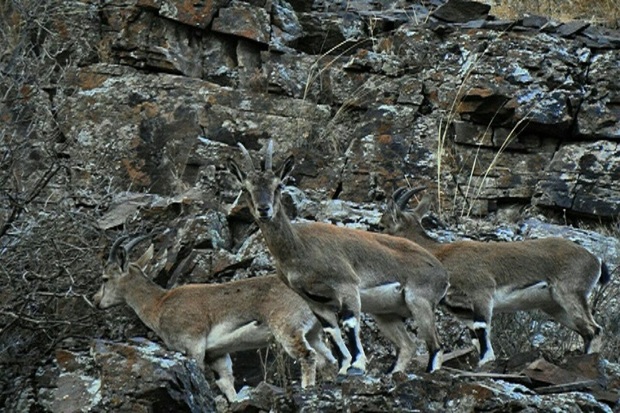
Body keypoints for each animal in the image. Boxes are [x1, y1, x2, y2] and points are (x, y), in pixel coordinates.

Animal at [92, 233, 336, 400]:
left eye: (104, 278)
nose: (96, 301)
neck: (160, 304)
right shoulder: (216, 355)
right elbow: (227, 385)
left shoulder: (193, 346)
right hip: (313, 333)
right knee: (328, 360)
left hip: (288, 329)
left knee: (308, 356)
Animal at [225, 141, 448, 374]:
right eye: (245, 188)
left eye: (278, 185)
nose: (264, 209)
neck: (300, 248)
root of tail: (441, 271)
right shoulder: (314, 300)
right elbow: (331, 330)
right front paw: (343, 367)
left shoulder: (347, 286)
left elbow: (349, 323)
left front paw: (356, 365)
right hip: (386, 313)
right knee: (408, 345)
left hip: (420, 301)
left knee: (435, 346)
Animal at [380, 187, 612, 364]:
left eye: (384, 225)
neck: (440, 256)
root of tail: (595, 260)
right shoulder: (463, 310)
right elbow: (476, 337)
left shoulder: (482, 292)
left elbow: (483, 333)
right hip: (554, 306)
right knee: (587, 332)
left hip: (570, 293)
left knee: (595, 330)